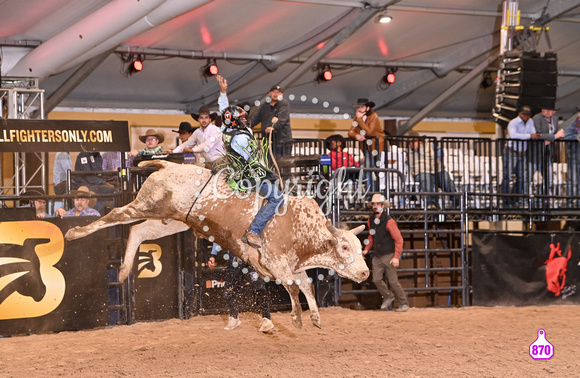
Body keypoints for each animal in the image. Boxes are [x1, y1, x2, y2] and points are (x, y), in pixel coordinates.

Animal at [65, 161, 370, 330]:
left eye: (359, 246)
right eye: (344, 248)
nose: (366, 273)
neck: (300, 227)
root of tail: (170, 166)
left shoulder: (291, 266)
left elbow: (306, 285)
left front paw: (315, 317)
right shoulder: (274, 262)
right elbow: (295, 288)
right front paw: (296, 318)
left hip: (172, 220)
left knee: (138, 231)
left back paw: (124, 270)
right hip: (149, 203)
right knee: (117, 215)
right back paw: (73, 233)